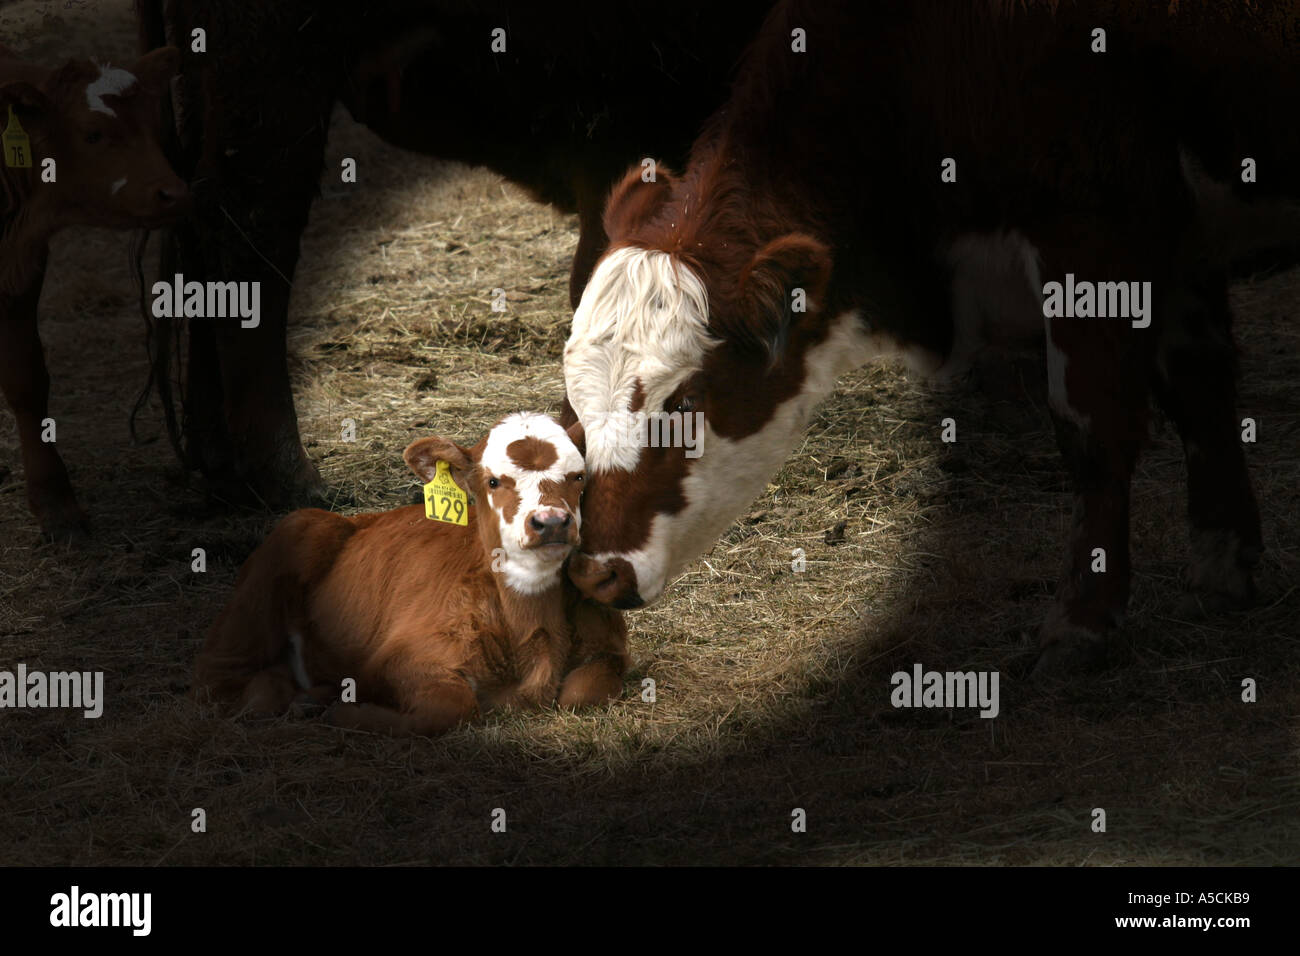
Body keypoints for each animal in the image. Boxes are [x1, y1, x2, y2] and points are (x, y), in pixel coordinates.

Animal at [0, 44, 189, 540]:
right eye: (93, 133)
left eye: (155, 125)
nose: (174, 193)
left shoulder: (20, 269)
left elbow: (27, 380)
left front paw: (55, 503)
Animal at [193, 412, 628, 736]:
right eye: (492, 481)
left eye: (578, 476)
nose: (551, 522)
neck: (530, 630)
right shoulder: (403, 657)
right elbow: (452, 706)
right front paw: (348, 713)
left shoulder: (610, 647)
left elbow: (581, 694)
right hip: (287, 543)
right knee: (221, 679)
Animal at [562, 0, 1299, 674]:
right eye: (574, 400)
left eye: (683, 401)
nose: (594, 572)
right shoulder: (1179, 251)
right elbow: (1201, 389)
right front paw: (1223, 560)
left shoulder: (1091, 236)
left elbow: (1091, 430)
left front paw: (1083, 620)